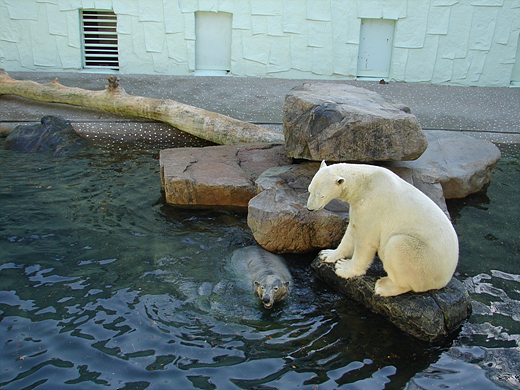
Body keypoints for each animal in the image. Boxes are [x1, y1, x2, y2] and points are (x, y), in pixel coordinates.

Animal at [306, 160, 458, 298]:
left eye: (321, 195)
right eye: (309, 190)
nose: (310, 208)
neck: (365, 183)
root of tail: (446, 277)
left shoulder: (373, 205)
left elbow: (366, 240)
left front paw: (343, 268)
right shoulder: (358, 205)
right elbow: (351, 230)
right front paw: (327, 254)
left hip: (424, 261)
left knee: (399, 247)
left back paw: (384, 286)